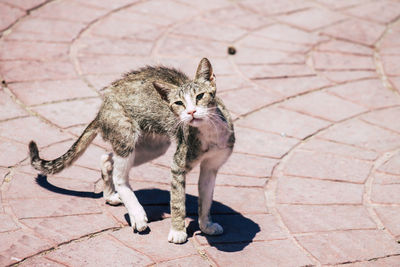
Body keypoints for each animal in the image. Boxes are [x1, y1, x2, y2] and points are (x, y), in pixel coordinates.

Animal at [28, 58, 234, 245]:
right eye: (178, 103)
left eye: (200, 96)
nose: (191, 112)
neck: (210, 132)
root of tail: (102, 108)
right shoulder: (178, 165)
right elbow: (177, 201)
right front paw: (177, 231)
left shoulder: (211, 167)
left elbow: (206, 200)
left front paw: (206, 225)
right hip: (126, 133)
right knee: (120, 177)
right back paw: (136, 212)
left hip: (154, 146)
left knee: (107, 158)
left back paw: (109, 195)